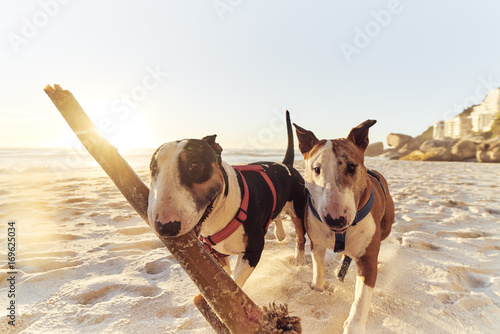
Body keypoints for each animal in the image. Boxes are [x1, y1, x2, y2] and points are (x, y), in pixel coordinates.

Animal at [146, 111, 306, 288]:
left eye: (194, 164)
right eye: (153, 168)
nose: (165, 227)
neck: (217, 214)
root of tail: (286, 165)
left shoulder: (254, 249)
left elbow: (236, 282)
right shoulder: (218, 255)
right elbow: (226, 274)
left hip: (299, 209)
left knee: (300, 235)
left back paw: (299, 259)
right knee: (276, 215)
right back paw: (280, 234)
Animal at [292, 120, 394, 334]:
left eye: (352, 166)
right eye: (316, 169)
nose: (335, 220)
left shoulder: (368, 259)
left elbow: (362, 297)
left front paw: (354, 326)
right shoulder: (316, 243)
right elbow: (317, 267)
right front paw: (317, 288)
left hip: (386, 225)